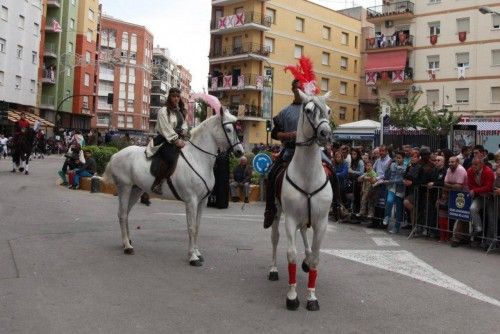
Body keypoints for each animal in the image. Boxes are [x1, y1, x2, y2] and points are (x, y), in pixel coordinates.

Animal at [101, 109, 244, 266]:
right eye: (229, 129)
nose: (240, 152)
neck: (198, 158)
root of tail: (116, 154)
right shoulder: (191, 201)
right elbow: (191, 228)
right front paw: (192, 257)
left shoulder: (202, 201)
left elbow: (198, 226)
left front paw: (197, 252)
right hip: (125, 188)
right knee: (122, 214)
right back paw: (127, 246)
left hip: (136, 189)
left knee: (126, 213)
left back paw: (127, 241)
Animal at [268, 90, 334, 310]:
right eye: (309, 110)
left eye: (328, 110)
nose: (325, 134)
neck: (308, 177)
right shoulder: (289, 219)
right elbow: (291, 256)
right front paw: (292, 296)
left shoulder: (321, 222)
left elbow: (316, 258)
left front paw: (312, 297)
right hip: (277, 212)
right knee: (275, 238)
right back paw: (273, 270)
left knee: (305, 235)